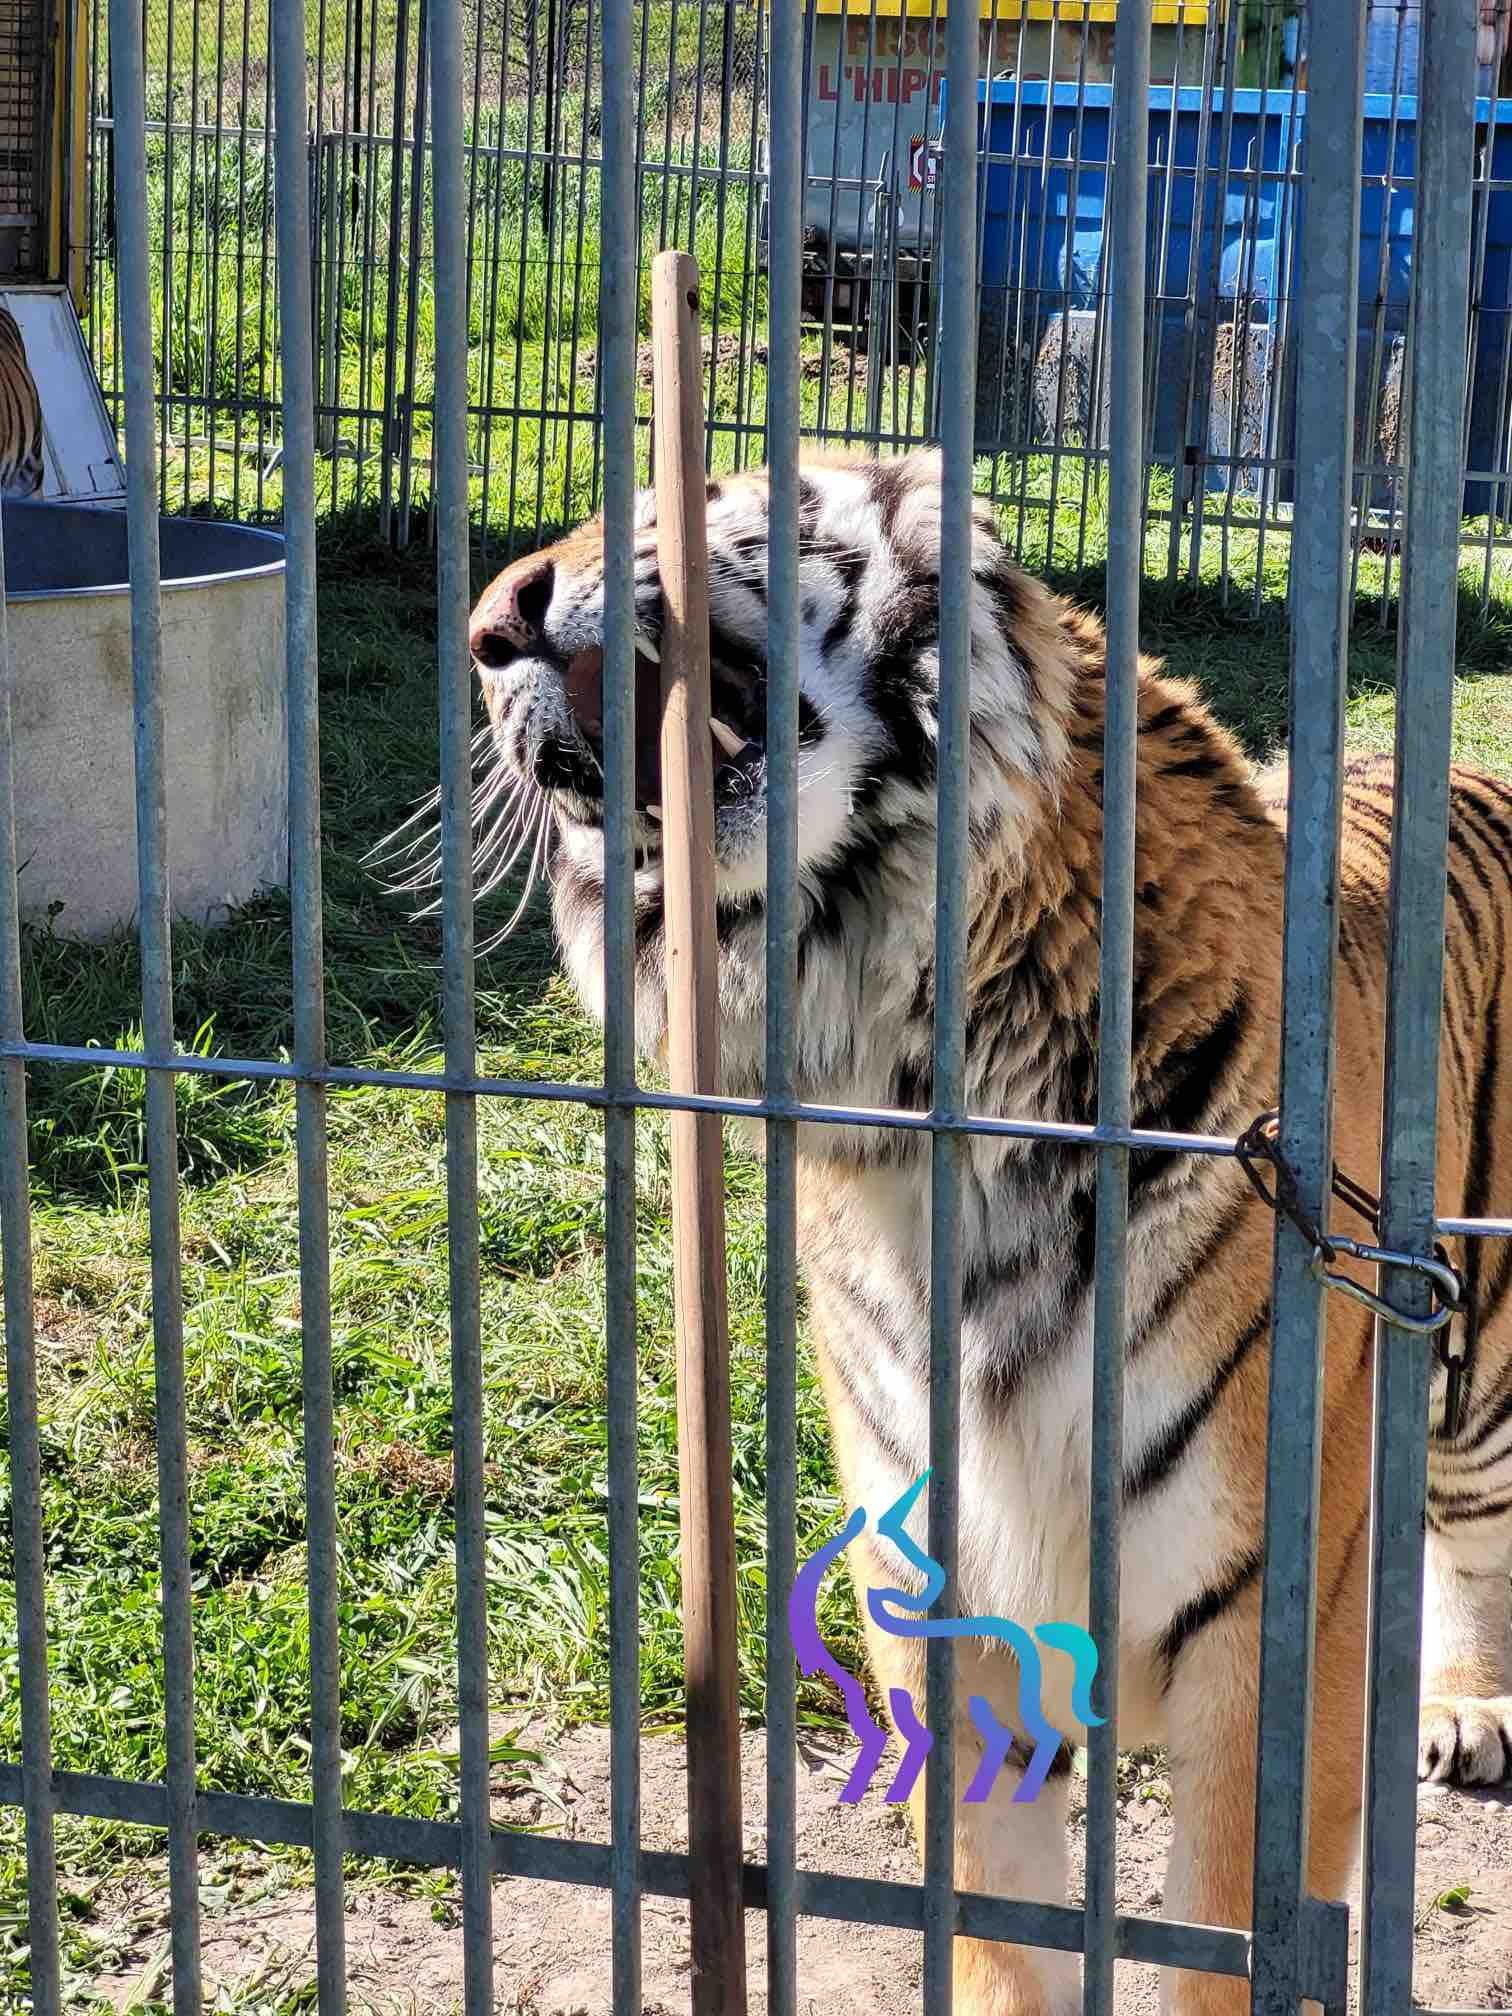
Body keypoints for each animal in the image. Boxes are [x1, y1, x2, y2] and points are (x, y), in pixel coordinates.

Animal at [464, 448, 1512, 2016]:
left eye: (695, 490)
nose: (487, 632)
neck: (923, 1102)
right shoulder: (951, 1633)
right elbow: (995, 1943)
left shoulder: (1265, 1657)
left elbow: (1221, 1946)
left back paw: (1467, 1709)